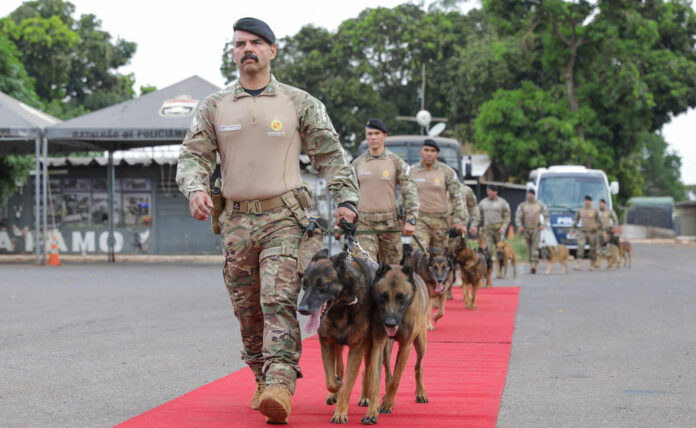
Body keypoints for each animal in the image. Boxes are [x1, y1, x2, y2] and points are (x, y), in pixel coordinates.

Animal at [298, 249, 376, 422]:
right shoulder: (326, 342)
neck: (341, 307)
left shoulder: (357, 347)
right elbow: (330, 379)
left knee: (367, 372)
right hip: (337, 345)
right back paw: (334, 393)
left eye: (321, 285)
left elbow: (348, 385)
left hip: (369, 347)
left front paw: (340, 413)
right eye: (304, 285)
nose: (301, 309)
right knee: (339, 367)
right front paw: (336, 387)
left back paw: (365, 396)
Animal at [358, 260, 430, 424]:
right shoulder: (378, 344)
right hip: (381, 348)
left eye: (401, 297)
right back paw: (366, 396)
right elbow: (376, 381)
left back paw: (421, 392)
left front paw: (387, 404)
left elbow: (396, 379)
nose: (390, 323)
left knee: (418, 365)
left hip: (420, 343)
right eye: (383, 296)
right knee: (373, 370)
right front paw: (372, 412)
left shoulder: (405, 347)